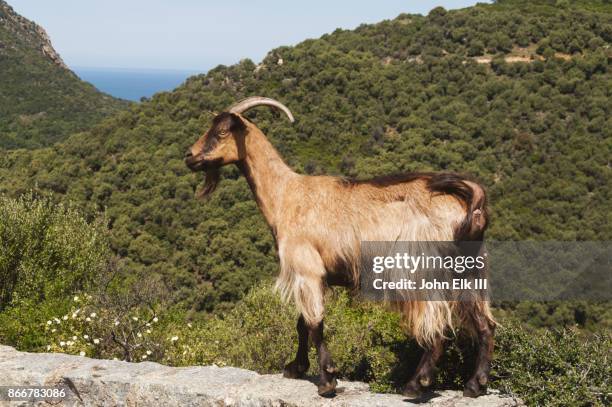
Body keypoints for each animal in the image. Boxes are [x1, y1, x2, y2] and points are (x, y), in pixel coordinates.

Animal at [184, 96, 494, 398]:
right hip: (468, 272)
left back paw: (417, 384)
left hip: (421, 271)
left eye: (222, 131)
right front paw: (296, 367)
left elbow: (314, 324)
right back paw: (475, 385)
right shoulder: (309, 274)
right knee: (484, 324)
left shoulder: (307, 268)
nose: (189, 156)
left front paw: (327, 379)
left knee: (437, 326)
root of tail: (471, 203)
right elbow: (302, 323)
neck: (285, 195)